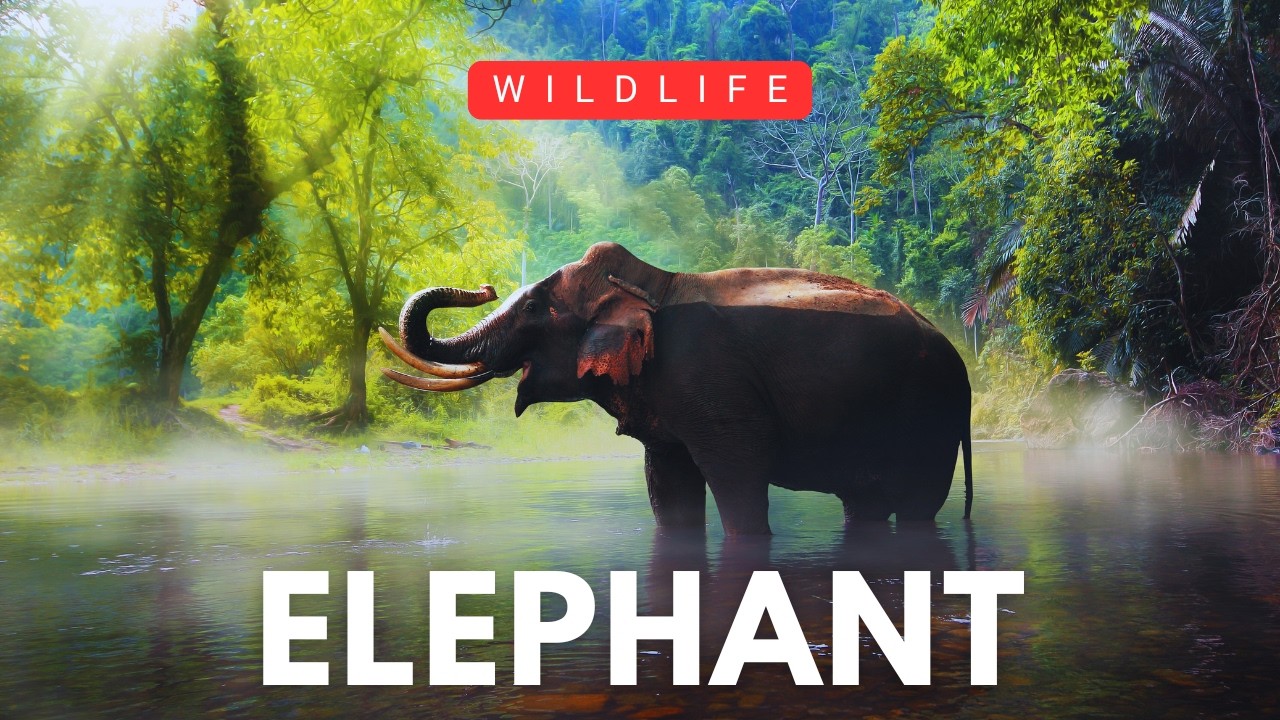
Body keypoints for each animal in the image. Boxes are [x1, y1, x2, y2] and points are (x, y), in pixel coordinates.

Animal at [380, 242, 972, 535]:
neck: (653, 284)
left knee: (919, 506)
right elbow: (667, 482)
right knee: (865, 505)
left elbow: (739, 474)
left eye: (531, 308)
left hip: (931, 415)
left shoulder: (713, 383)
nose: (484, 286)